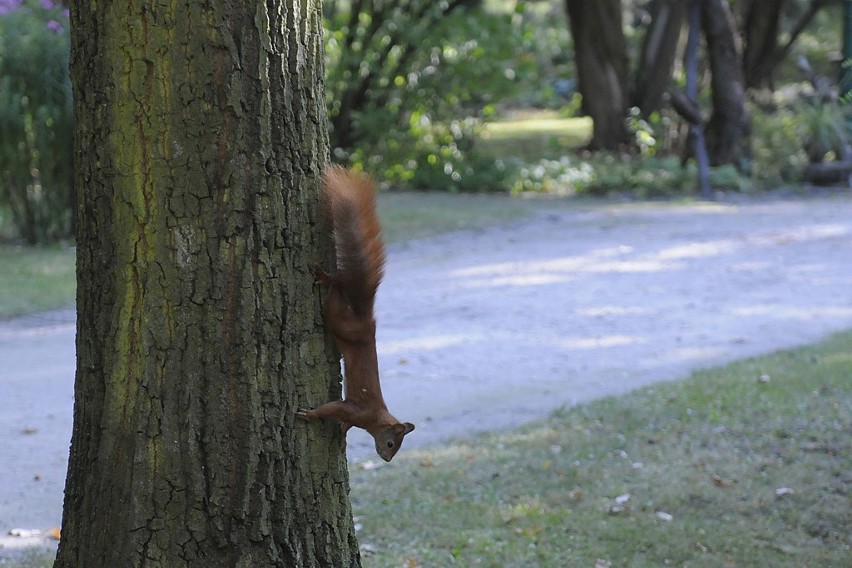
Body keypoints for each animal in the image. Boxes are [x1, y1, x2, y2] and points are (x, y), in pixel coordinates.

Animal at [300, 164, 416, 462]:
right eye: (391, 443)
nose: (387, 459)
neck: (379, 417)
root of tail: (366, 317)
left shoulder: (354, 416)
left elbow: (344, 424)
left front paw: (341, 437)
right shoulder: (356, 410)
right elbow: (331, 409)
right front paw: (310, 414)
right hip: (340, 319)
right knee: (338, 288)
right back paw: (325, 277)